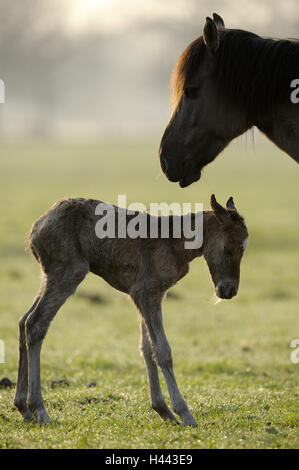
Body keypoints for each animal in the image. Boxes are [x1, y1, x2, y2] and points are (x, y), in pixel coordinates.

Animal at [14, 194, 248, 426]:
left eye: (243, 249)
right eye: (228, 248)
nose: (229, 290)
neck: (174, 242)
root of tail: (37, 227)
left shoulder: (145, 296)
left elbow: (146, 347)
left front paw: (163, 410)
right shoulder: (147, 292)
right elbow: (162, 351)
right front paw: (185, 413)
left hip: (51, 276)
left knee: (23, 320)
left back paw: (23, 408)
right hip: (69, 271)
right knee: (35, 324)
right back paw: (39, 409)